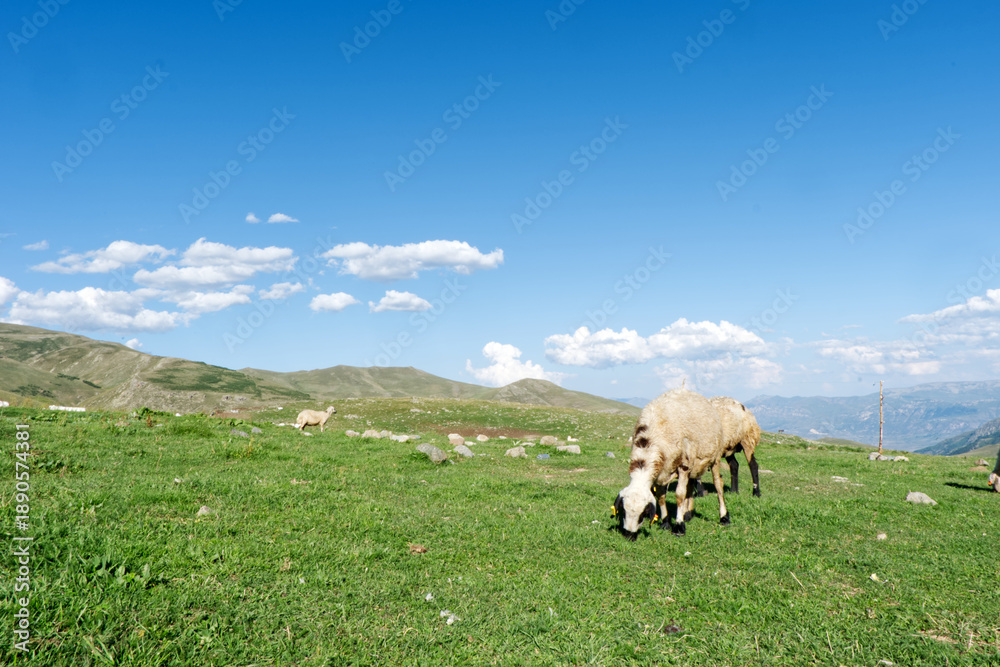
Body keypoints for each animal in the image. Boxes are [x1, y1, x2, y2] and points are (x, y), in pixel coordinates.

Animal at [614, 388, 729, 539]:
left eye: (643, 514)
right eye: (624, 511)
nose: (628, 535)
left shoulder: (683, 465)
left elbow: (679, 495)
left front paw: (679, 526)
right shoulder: (661, 471)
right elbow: (661, 497)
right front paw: (665, 522)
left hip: (714, 457)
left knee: (718, 485)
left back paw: (724, 517)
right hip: (692, 466)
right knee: (690, 488)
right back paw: (688, 514)